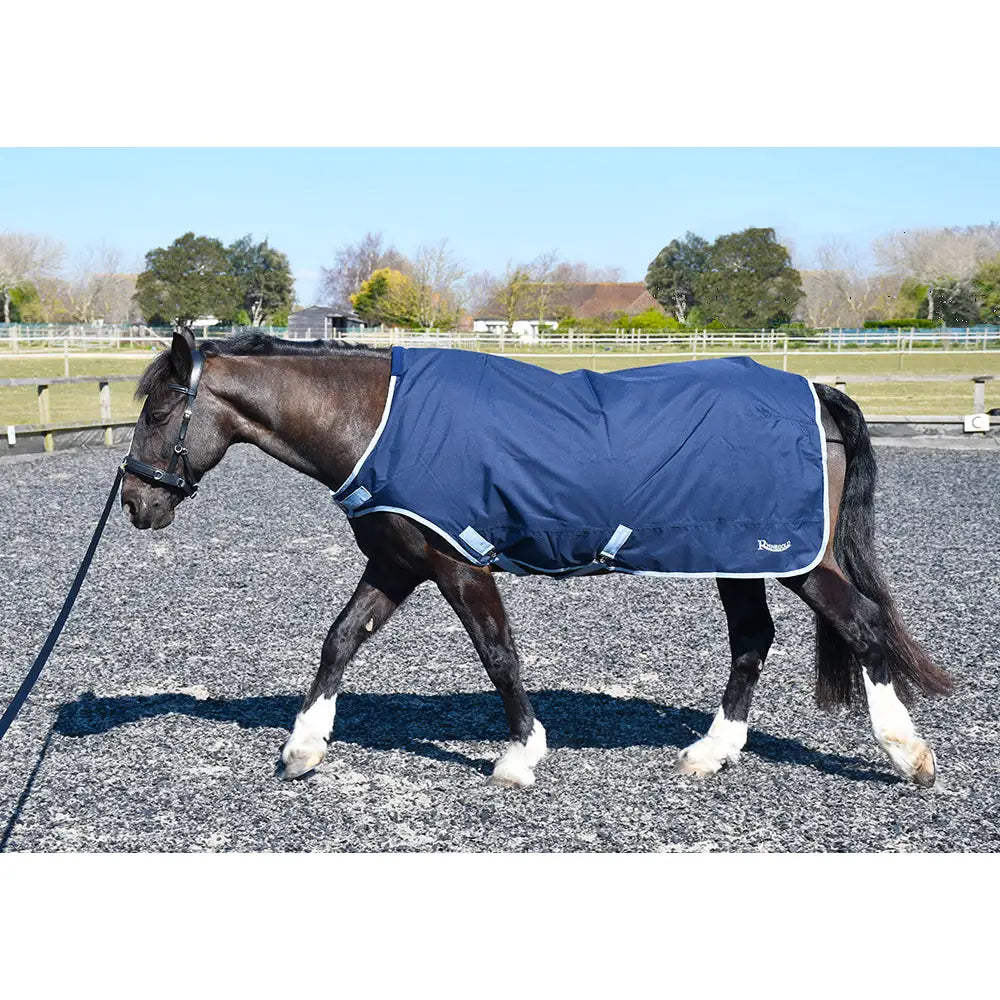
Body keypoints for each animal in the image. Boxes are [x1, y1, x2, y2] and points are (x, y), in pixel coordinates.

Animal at [120, 328, 952, 788]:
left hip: (790, 559)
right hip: (734, 557)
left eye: (158, 411)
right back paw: (711, 752)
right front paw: (302, 749)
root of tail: (816, 392)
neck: (378, 421)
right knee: (753, 641)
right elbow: (340, 641)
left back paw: (906, 754)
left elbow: (499, 656)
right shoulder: (398, 563)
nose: (133, 502)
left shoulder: (460, 565)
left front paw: (520, 756)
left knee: (863, 624)